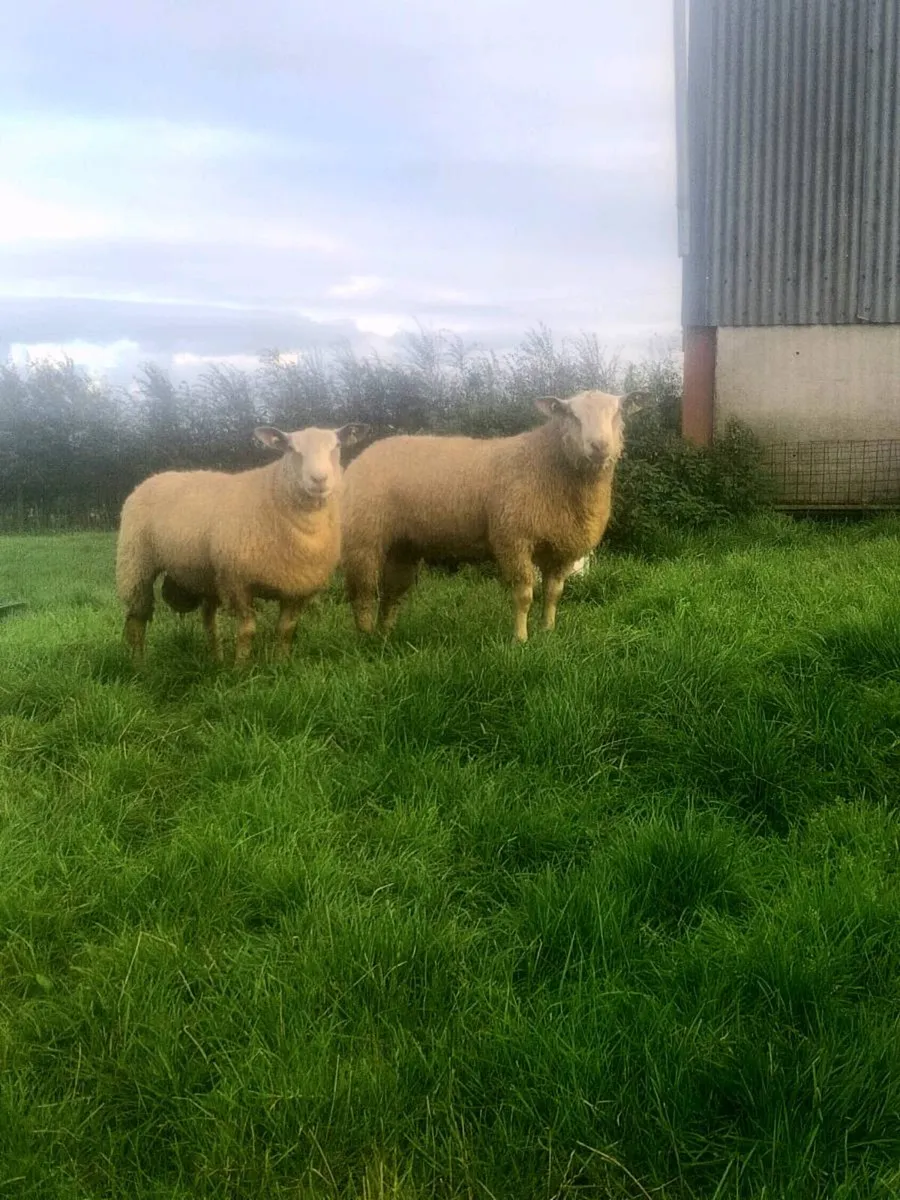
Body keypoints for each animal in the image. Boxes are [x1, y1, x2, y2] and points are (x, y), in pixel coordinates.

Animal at [116, 422, 367, 663]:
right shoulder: (237, 581)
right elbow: (247, 630)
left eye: (336, 446)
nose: (319, 479)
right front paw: (241, 669)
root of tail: (154, 477)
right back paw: (139, 665)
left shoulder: (297, 587)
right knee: (136, 620)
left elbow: (286, 630)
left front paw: (281, 664)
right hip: (136, 564)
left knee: (209, 621)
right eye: (291, 448)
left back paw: (216, 660)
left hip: (207, 576)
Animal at [340, 389, 643, 643]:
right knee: (363, 591)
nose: (599, 446)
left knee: (392, 592)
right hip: (363, 537)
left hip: (403, 545)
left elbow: (553, 594)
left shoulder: (562, 549)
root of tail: (363, 456)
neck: (549, 463)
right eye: (571, 415)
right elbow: (523, 595)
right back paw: (366, 638)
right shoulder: (513, 539)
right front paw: (520, 639)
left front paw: (548, 631)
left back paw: (386, 635)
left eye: (618, 413)